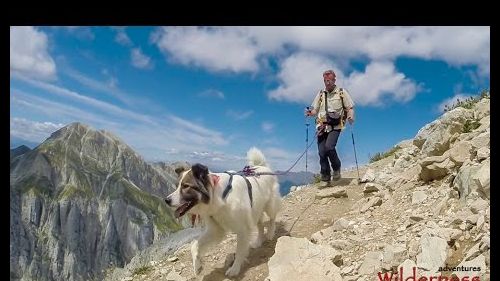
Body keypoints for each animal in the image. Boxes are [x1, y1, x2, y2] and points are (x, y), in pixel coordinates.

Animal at [164, 147, 282, 276]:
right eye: (177, 186)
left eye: (185, 186)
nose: (166, 200)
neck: (219, 195)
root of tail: (262, 167)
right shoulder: (216, 229)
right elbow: (195, 245)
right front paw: (197, 266)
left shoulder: (242, 229)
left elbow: (239, 251)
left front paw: (234, 269)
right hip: (256, 210)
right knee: (260, 225)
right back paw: (258, 242)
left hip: (269, 205)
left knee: (272, 218)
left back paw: (270, 233)